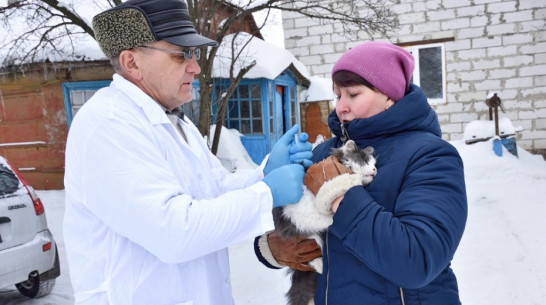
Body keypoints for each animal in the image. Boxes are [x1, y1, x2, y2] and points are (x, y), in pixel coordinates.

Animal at [270, 140, 374, 304]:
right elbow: (319, 218)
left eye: (374, 163)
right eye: (365, 161)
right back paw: (320, 264)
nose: (375, 169)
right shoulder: (296, 212)